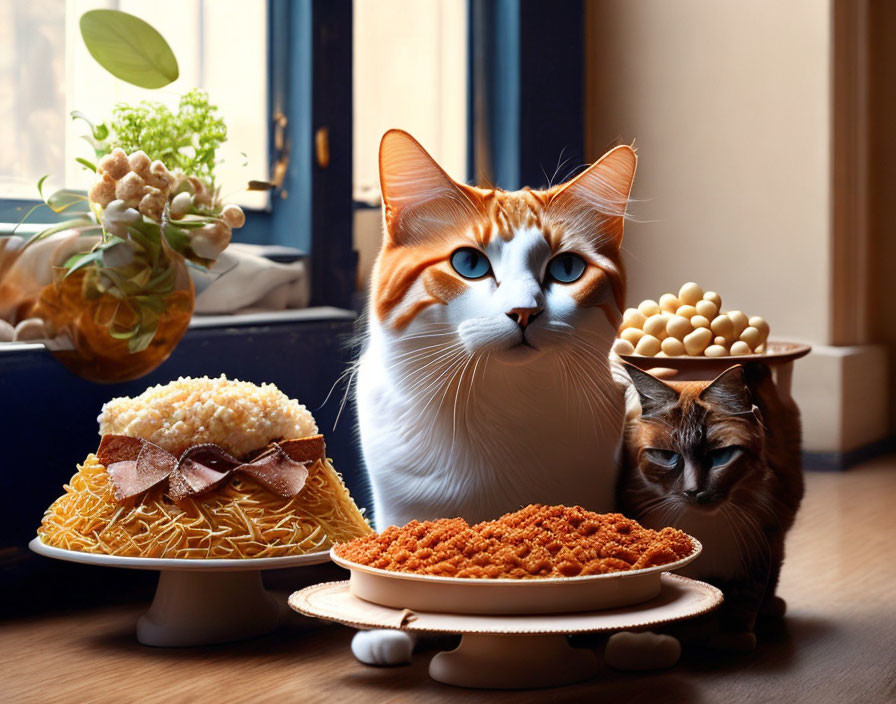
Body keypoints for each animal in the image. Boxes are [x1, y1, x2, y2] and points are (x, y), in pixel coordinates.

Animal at [350, 129, 636, 664]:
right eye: (469, 263)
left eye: (567, 268)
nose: (524, 312)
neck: (502, 405)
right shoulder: (397, 502)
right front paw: (386, 628)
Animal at [616, 360, 804, 652]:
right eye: (667, 457)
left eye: (720, 456)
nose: (695, 491)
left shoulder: (760, 543)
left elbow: (745, 596)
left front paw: (733, 637)